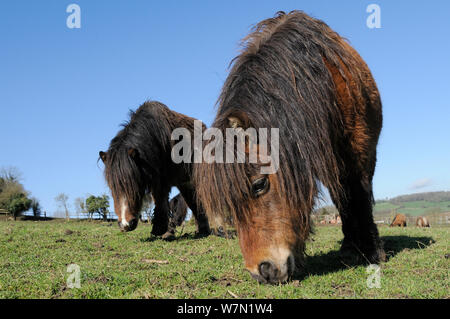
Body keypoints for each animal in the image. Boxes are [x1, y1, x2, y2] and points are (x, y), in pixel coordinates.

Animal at [99, 101, 210, 239]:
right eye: (112, 186)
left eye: (135, 184)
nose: (125, 224)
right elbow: (160, 202)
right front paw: (164, 231)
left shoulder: (162, 181)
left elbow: (161, 202)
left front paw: (160, 230)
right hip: (184, 183)